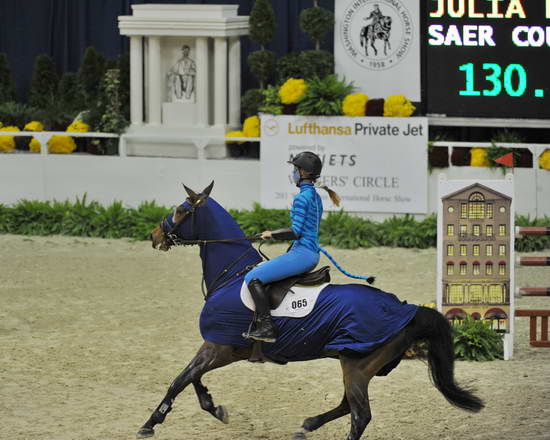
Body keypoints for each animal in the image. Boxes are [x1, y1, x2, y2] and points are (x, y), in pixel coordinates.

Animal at [140, 182, 486, 440]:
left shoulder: (219, 346)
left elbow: (181, 379)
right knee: (347, 406)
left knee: (360, 415)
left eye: (181, 210)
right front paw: (214, 406)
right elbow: (193, 378)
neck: (232, 275)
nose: (154, 236)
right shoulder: (220, 348)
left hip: (356, 367)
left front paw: (150, 424)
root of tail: (407, 309)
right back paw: (307, 425)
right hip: (356, 366)